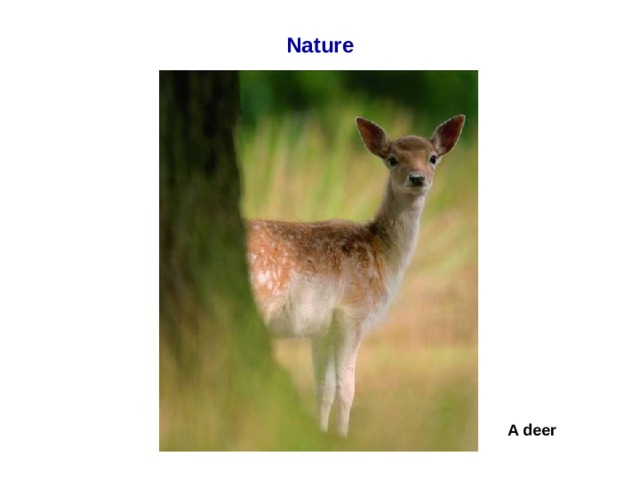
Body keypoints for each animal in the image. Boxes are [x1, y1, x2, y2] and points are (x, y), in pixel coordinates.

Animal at [246, 115, 465, 437]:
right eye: (392, 159)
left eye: (433, 158)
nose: (417, 178)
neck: (381, 255)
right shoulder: (353, 313)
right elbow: (346, 389)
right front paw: (342, 436)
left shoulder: (322, 329)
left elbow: (323, 390)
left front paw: (323, 433)